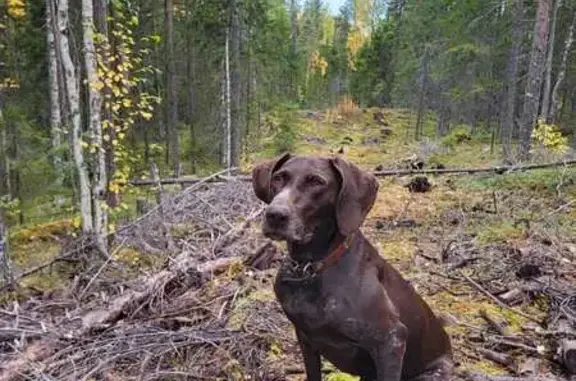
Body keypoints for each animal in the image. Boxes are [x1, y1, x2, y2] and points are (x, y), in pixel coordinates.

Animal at [252, 153, 454, 378]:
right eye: (278, 178)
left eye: (317, 182)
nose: (275, 215)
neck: (311, 267)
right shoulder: (305, 338)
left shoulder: (391, 340)